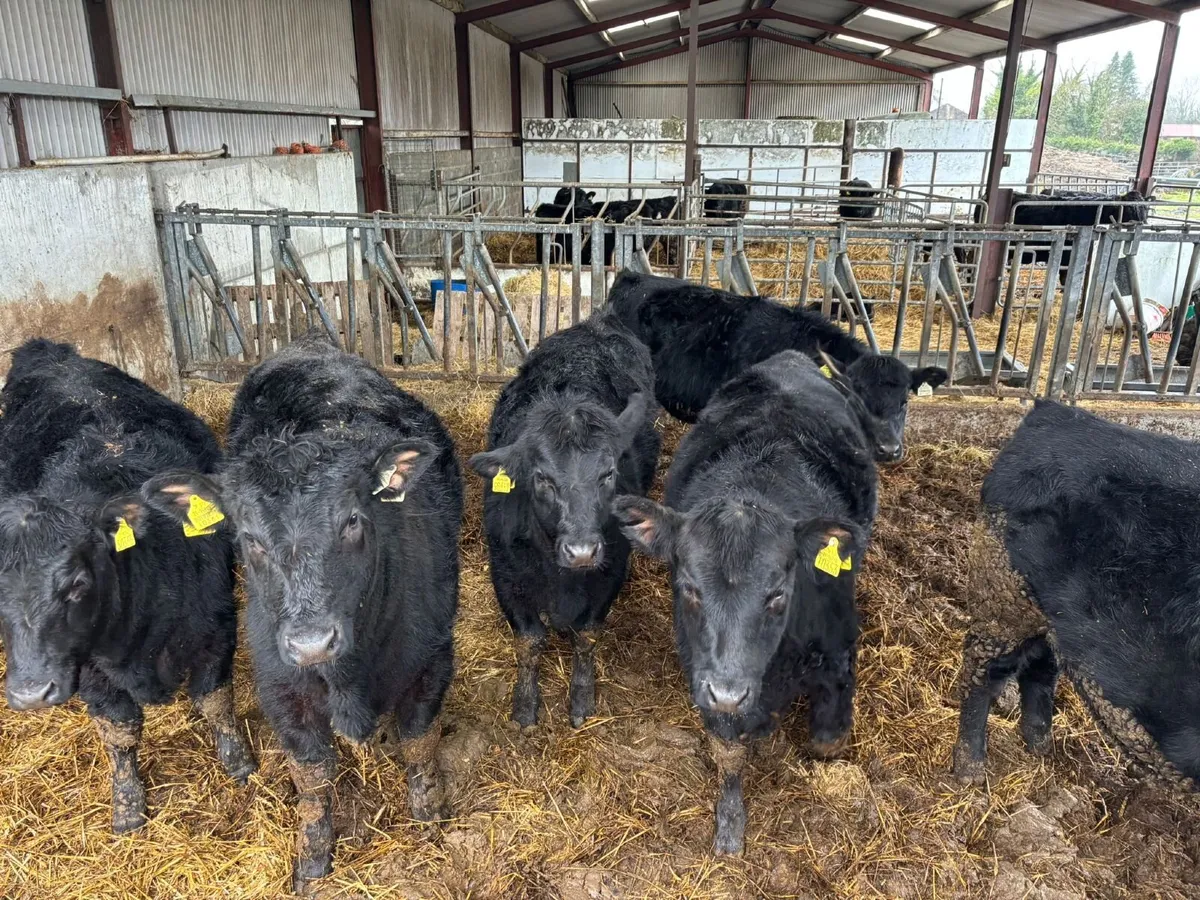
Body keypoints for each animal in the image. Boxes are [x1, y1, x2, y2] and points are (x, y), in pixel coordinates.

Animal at [0, 339, 256, 836]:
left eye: (78, 582)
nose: (29, 693)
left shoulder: (216, 625)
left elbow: (216, 700)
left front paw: (239, 762)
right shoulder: (89, 670)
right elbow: (119, 731)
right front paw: (127, 804)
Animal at [142, 332, 462, 893]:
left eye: (353, 519)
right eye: (248, 537)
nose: (311, 643)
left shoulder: (431, 662)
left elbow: (420, 746)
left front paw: (429, 819)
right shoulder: (281, 687)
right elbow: (312, 779)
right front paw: (313, 860)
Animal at [468, 311, 660, 729]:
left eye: (608, 473)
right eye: (542, 478)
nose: (582, 551)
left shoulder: (609, 575)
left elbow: (586, 636)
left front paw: (582, 698)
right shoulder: (506, 575)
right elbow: (529, 641)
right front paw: (524, 705)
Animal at [613, 350, 878, 855]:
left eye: (778, 593)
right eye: (689, 587)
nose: (730, 691)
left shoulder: (838, 648)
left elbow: (827, 740)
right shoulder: (704, 675)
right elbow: (729, 753)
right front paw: (730, 822)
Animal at [953, 400, 1200, 787]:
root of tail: (1052, 411)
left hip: (1049, 615)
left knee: (1041, 668)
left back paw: (1041, 750)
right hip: (1003, 593)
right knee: (984, 671)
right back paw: (970, 774)